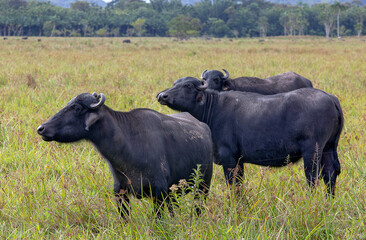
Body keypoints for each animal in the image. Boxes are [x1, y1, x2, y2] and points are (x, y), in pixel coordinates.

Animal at [36, 93, 214, 218]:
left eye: (77, 108)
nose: (41, 128)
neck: (129, 146)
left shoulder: (159, 193)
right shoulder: (120, 193)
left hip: (203, 186)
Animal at [157, 78, 344, 196]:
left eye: (188, 85)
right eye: (175, 83)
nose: (162, 95)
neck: (213, 109)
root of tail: (330, 98)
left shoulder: (229, 157)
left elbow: (232, 184)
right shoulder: (239, 160)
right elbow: (239, 184)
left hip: (313, 151)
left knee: (313, 177)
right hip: (329, 148)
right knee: (330, 174)